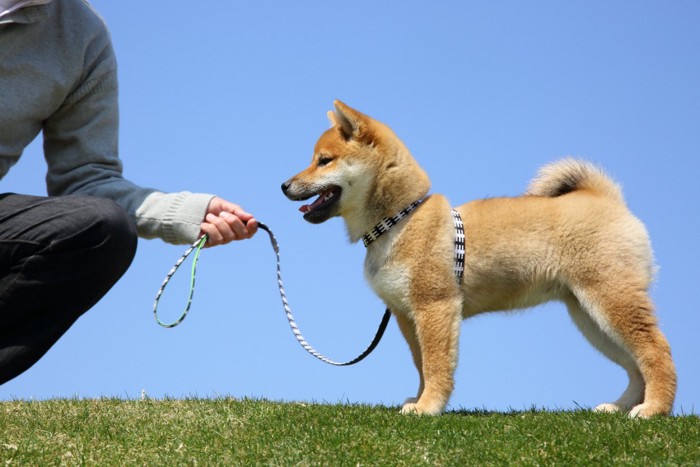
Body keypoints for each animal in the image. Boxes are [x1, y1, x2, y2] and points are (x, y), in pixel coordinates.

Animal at [282, 101, 676, 416]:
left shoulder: (436, 306)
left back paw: (654, 409)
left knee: (657, 351)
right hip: (590, 316)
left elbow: (436, 365)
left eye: (324, 161)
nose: (284, 185)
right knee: (634, 366)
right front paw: (420, 399)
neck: (399, 220)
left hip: (610, 301)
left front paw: (429, 407)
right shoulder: (407, 315)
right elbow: (422, 364)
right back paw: (621, 406)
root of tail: (607, 198)